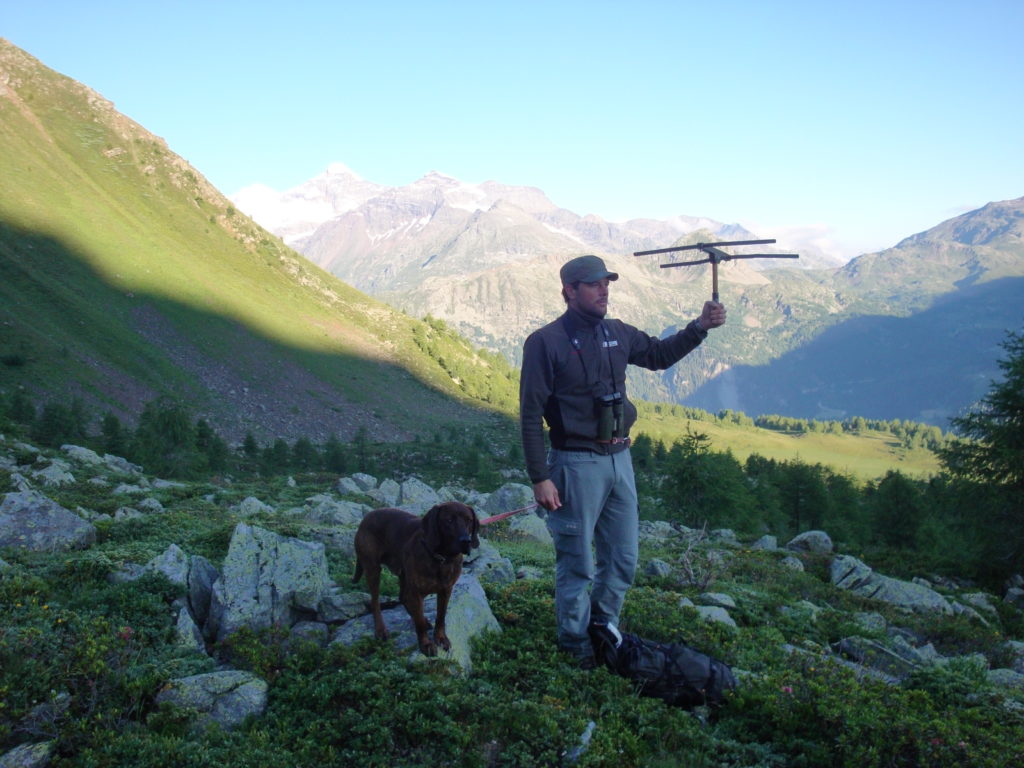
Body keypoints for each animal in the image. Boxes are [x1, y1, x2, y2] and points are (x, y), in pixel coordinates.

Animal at [352, 501, 479, 659]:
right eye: (449, 520)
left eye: (469, 520)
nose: (466, 541)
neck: (441, 559)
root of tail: (365, 519)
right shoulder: (417, 592)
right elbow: (419, 623)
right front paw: (425, 644)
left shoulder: (446, 590)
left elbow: (441, 616)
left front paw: (440, 638)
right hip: (373, 569)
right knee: (375, 601)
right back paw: (381, 629)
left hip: (403, 573)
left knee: (403, 597)